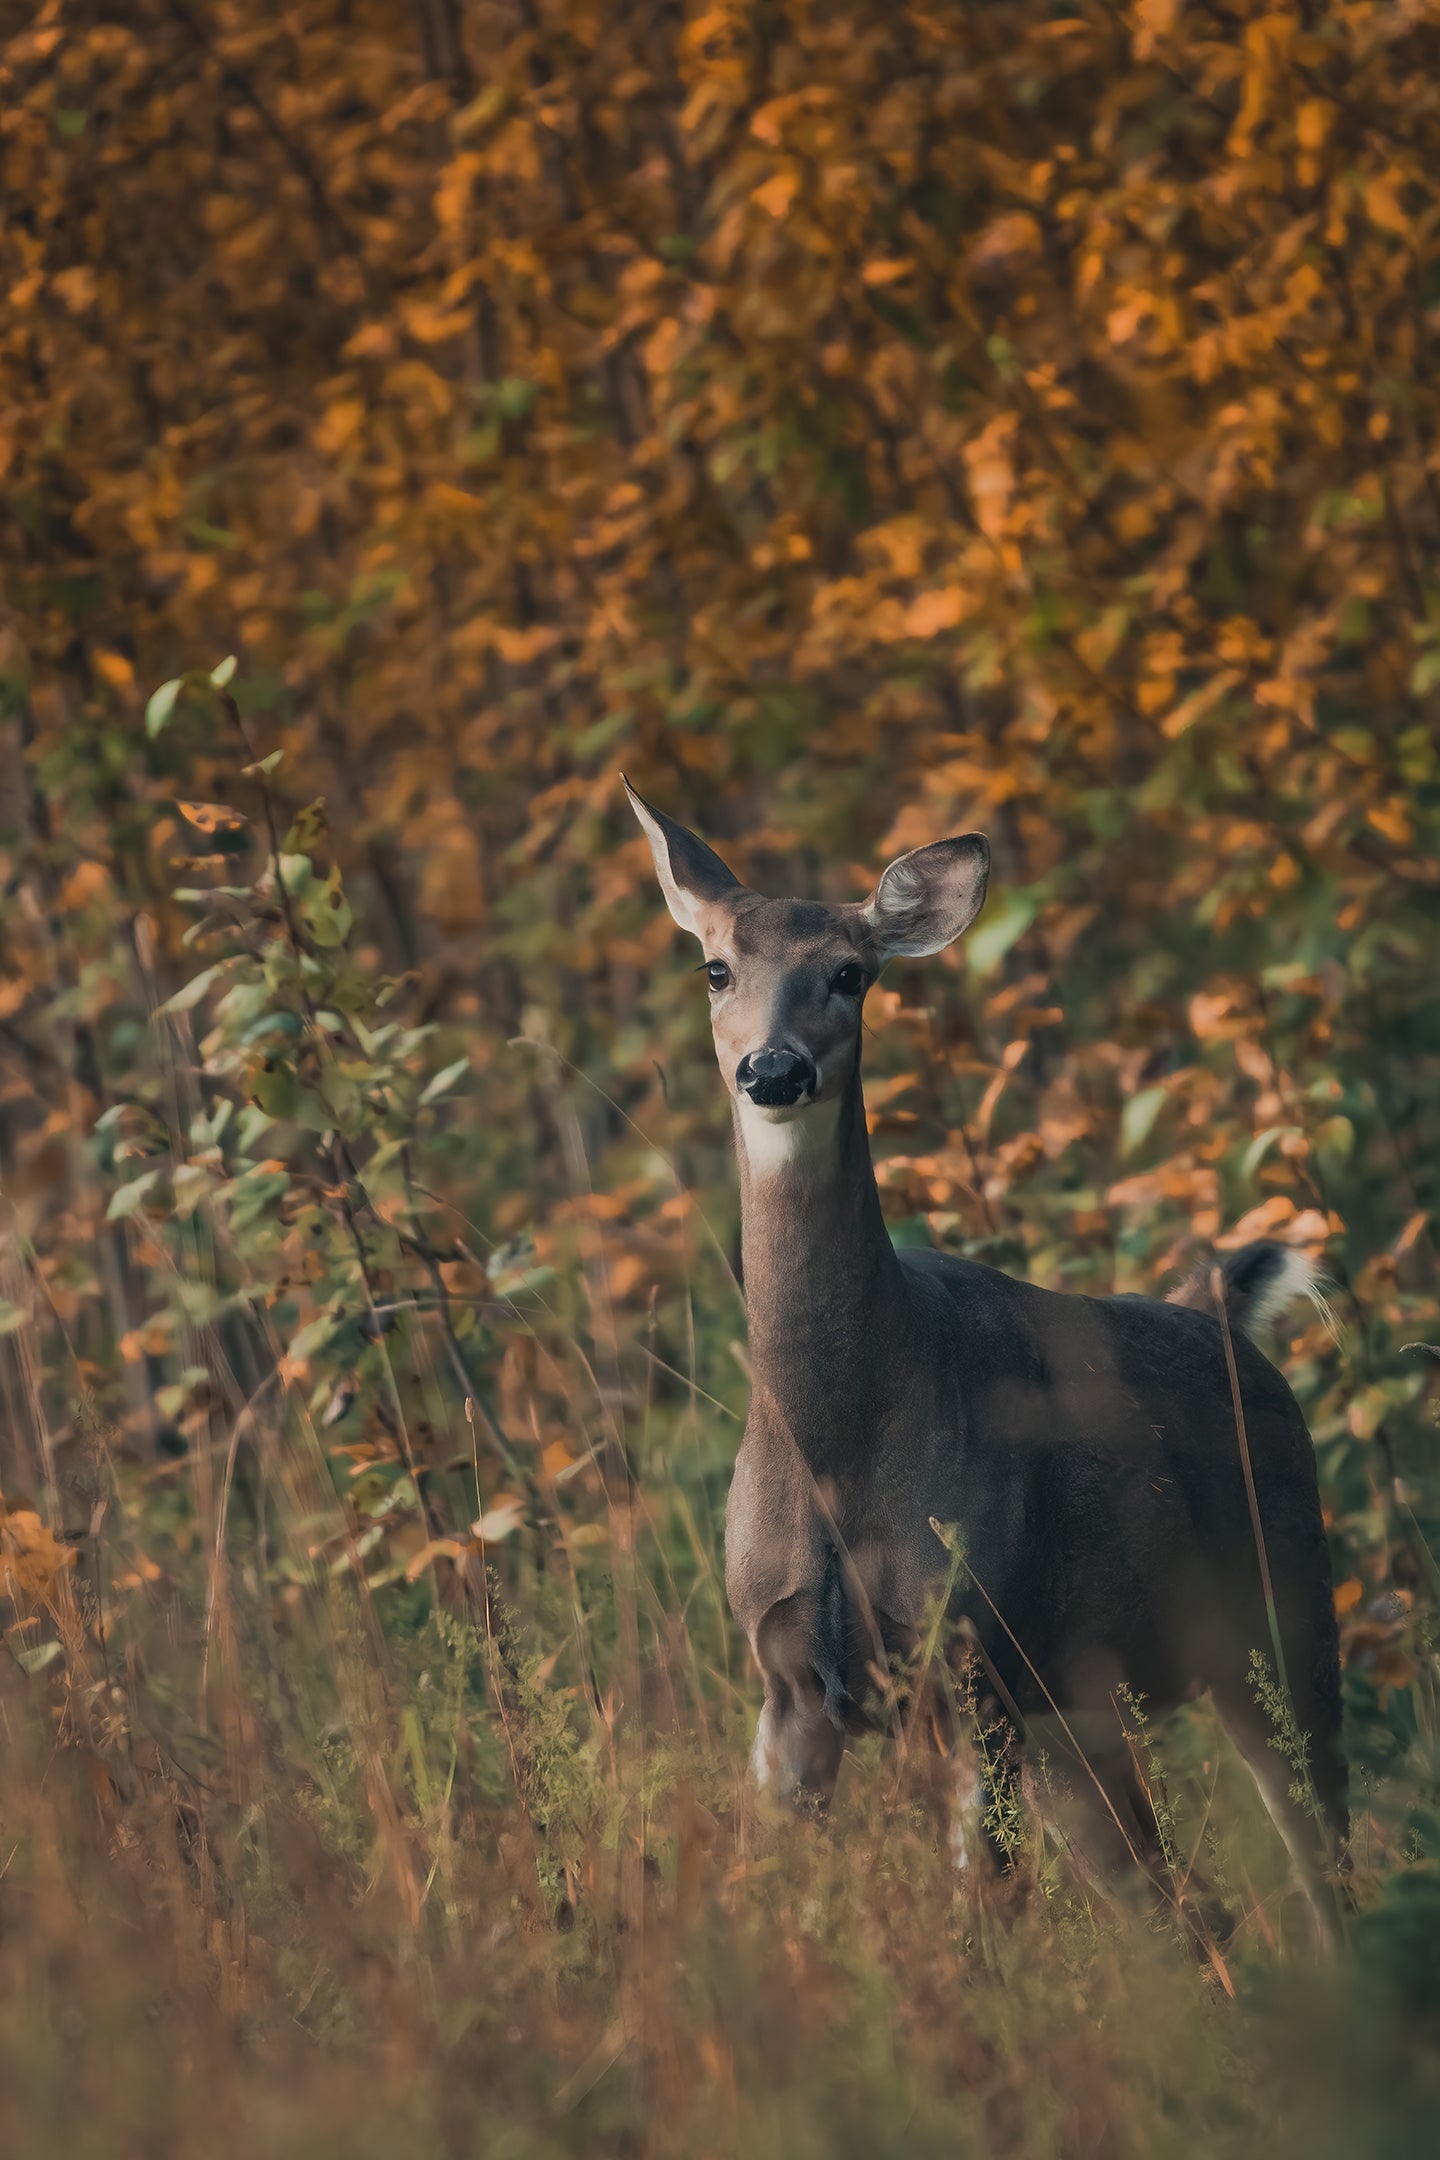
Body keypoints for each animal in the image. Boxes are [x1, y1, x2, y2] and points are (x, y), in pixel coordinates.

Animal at [621, 781, 1355, 1944]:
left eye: (852, 972)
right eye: (716, 968)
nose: (773, 1068)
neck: (841, 1445)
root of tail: (1228, 1325)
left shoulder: (970, 1656)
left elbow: (982, 1920)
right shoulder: (786, 1681)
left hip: (1280, 1615)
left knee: (1319, 1849)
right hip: (1085, 1707)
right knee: (1181, 1897)